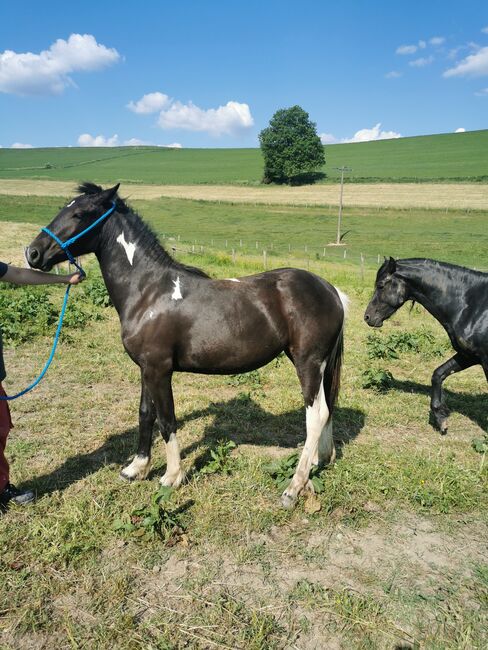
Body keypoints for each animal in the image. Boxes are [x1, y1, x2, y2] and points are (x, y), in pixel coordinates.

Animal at [26, 182, 346, 506]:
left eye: (79, 213)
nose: (33, 253)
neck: (149, 292)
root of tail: (330, 289)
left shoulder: (159, 370)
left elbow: (167, 420)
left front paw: (171, 477)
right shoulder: (146, 368)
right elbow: (146, 414)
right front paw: (136, 469)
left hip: (307, 363)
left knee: (315, 415)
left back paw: (294, 487)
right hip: (316, 365)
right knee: (327, 408)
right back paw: (320, 460)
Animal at [364, 256, 486, 432]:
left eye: (380, 285)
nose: (367, 317)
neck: (474, 305)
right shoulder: (469, 355)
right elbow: (438, 374)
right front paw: (441, 418)